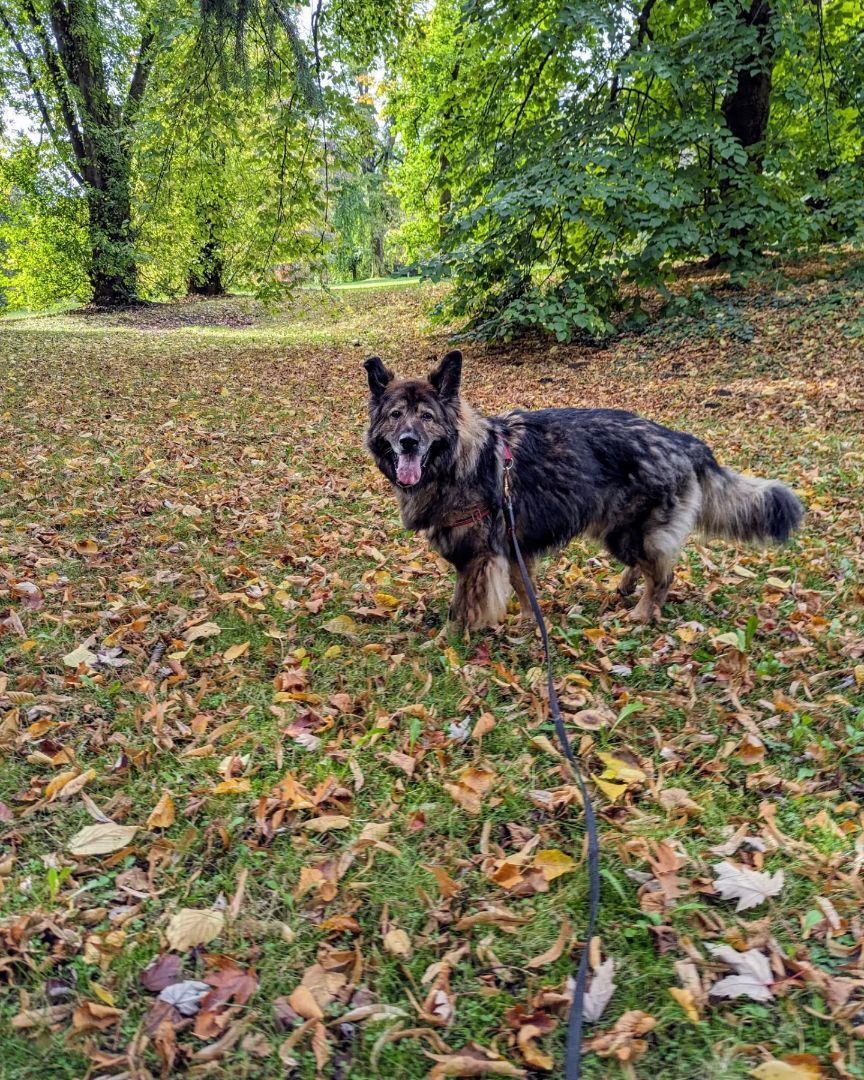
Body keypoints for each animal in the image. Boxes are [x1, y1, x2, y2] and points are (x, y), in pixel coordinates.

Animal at [362, 349, 803, 630]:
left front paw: (449, 644)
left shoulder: (479, 558)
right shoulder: (511, 550)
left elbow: (460, 610)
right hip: (616, 530)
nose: (408, 443)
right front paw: (530, 623)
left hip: (629, 532)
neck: (457, 461)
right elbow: (523, 590)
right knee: (649, 566)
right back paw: (625, 587)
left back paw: (642, 614)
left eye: (427, 417)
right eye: (396, 415)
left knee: (663, 575)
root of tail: (682, 440)